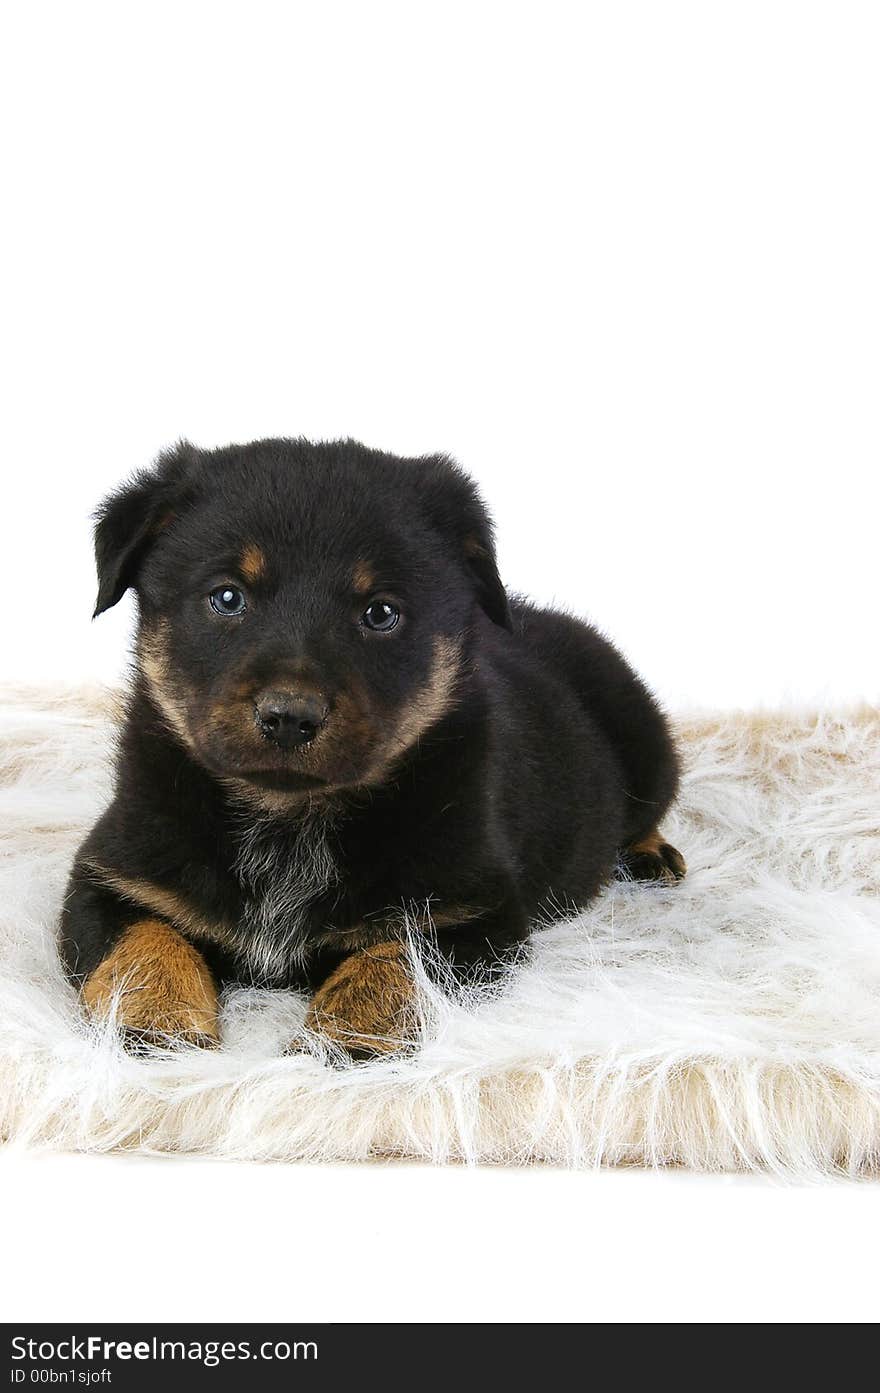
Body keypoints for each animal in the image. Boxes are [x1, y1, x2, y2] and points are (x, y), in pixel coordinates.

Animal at [58, 440, 685, 1058]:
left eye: (381, 613)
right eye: (227, 597)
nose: (289, 717)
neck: (290, 820)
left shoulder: (475, 911)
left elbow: (398, 956)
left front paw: (345, 1036)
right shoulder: (113, 875)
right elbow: (145, 937)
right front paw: (157, 1020)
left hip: (650, 747)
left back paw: (652, 855)